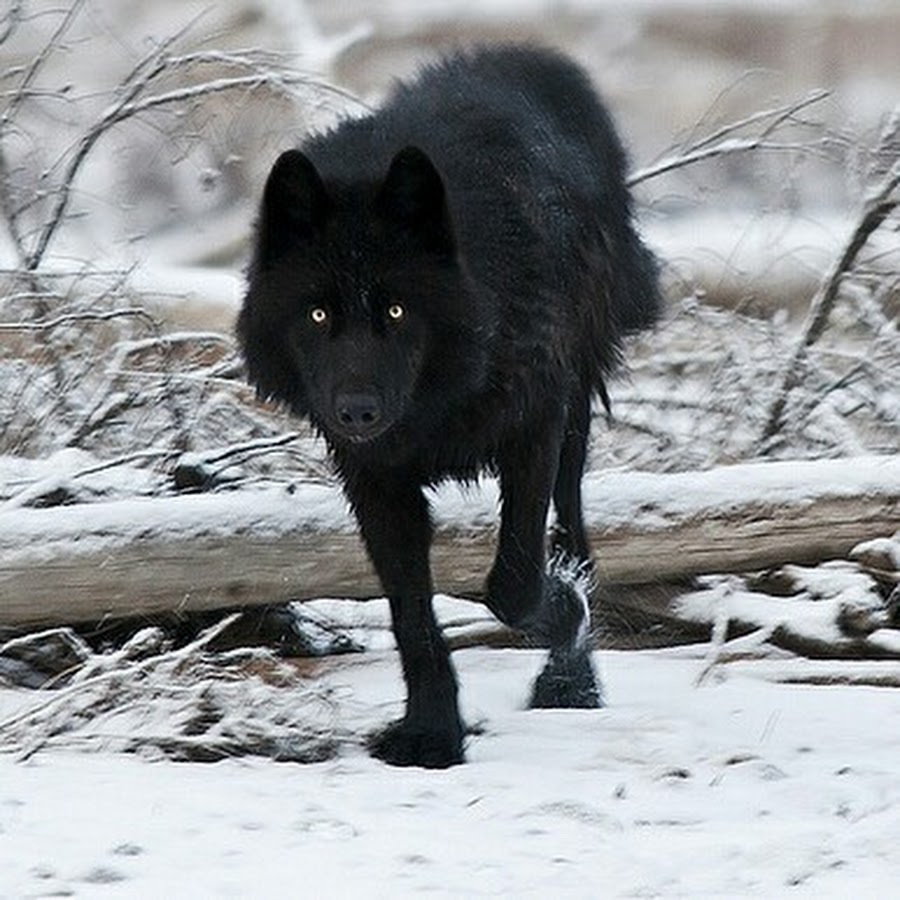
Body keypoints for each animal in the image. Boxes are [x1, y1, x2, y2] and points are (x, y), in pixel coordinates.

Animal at [239, 44, 660, 768]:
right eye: (318, 314)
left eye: (397, 310)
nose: (356, 411)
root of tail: (537, 59)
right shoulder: (374, 479)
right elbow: (411, 615)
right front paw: (432, 735)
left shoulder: (534, 426)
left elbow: (513, 586)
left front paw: (565, 610)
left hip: (575, 415)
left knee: (575, 534)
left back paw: (570, 679)